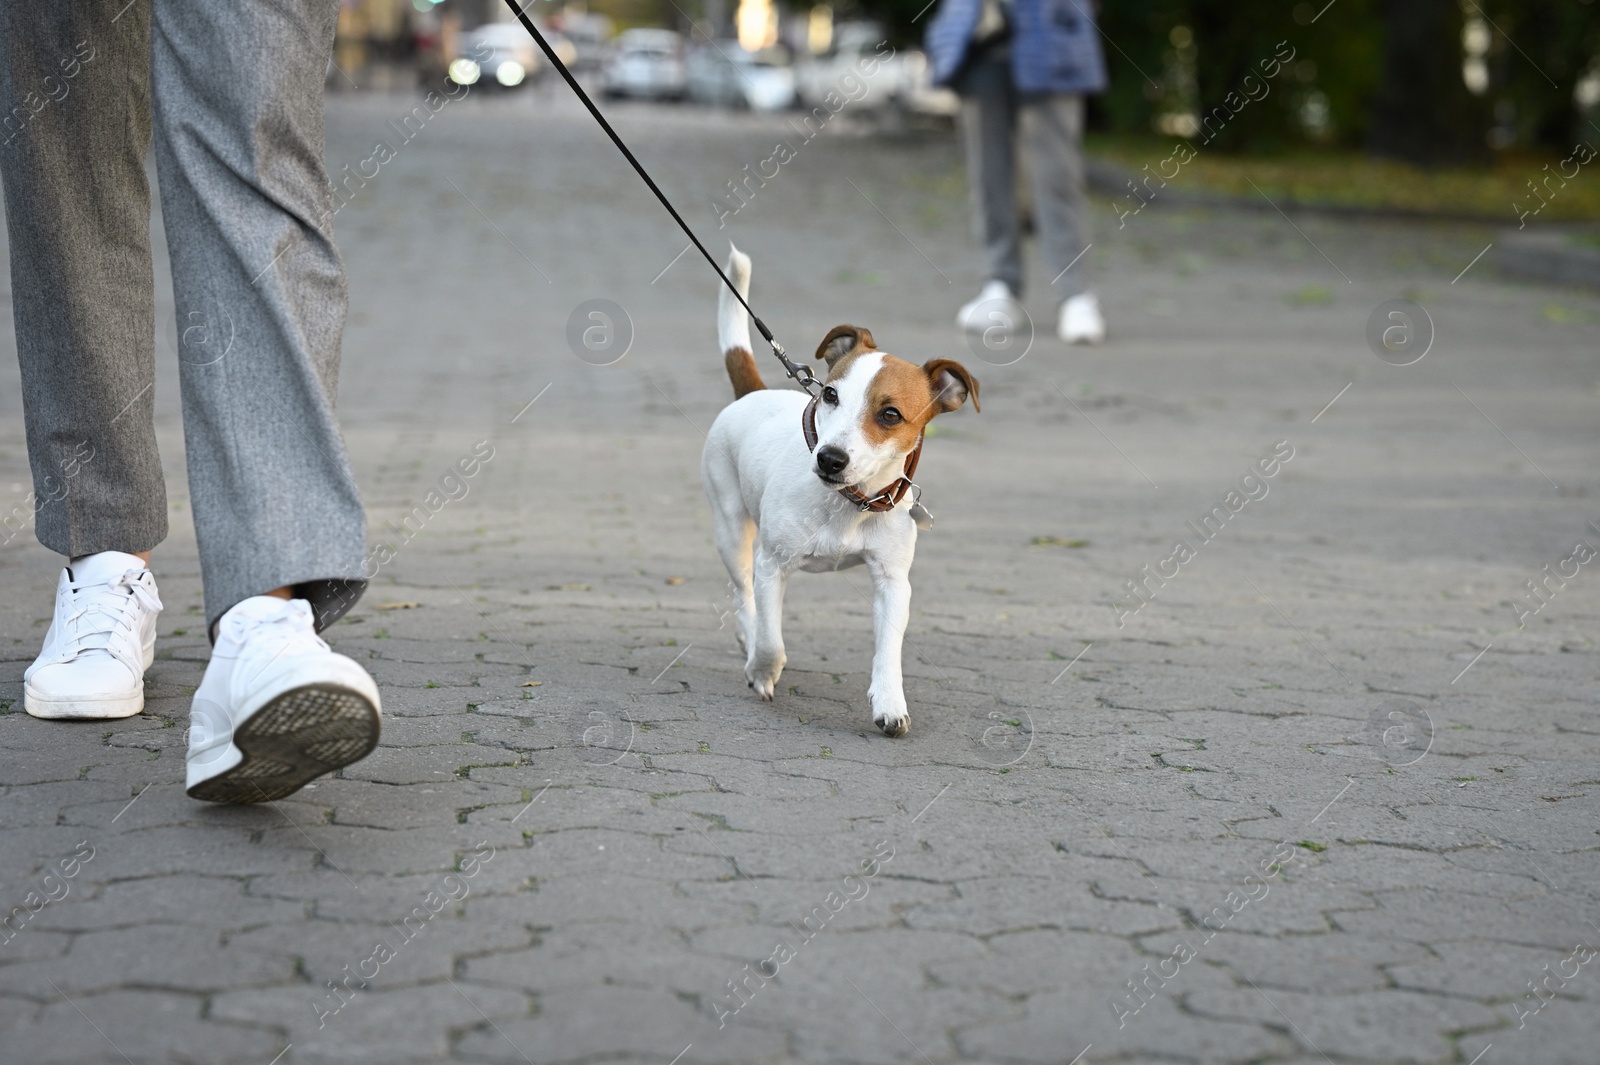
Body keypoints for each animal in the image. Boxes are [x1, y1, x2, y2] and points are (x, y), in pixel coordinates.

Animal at [700, 244, 972, 735]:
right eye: (829, 394)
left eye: (890, 415)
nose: (829, 458)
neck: (850, 503)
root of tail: (751, 393)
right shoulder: (772, 565)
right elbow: (772, 640)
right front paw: (762, 671)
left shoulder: (892, 582)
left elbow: (889, 651)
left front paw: (889, 704)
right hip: (731, 529)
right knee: (743, 594)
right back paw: (748, 637)